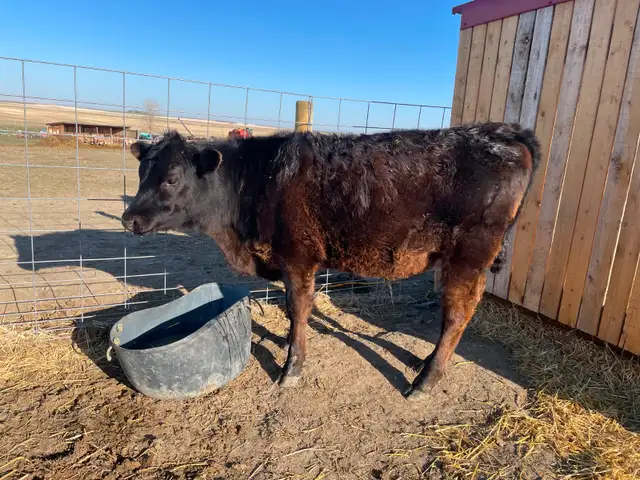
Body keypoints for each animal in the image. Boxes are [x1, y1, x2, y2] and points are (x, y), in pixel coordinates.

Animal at [121, 124, 540, 399]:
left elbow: (298, 309)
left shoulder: (298, 259)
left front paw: (292, 367)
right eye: (142, 173)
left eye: (172, 178)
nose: (129, 218)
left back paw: (425, 381)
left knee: (457, 314)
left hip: (468, 257)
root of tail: (500, 132)